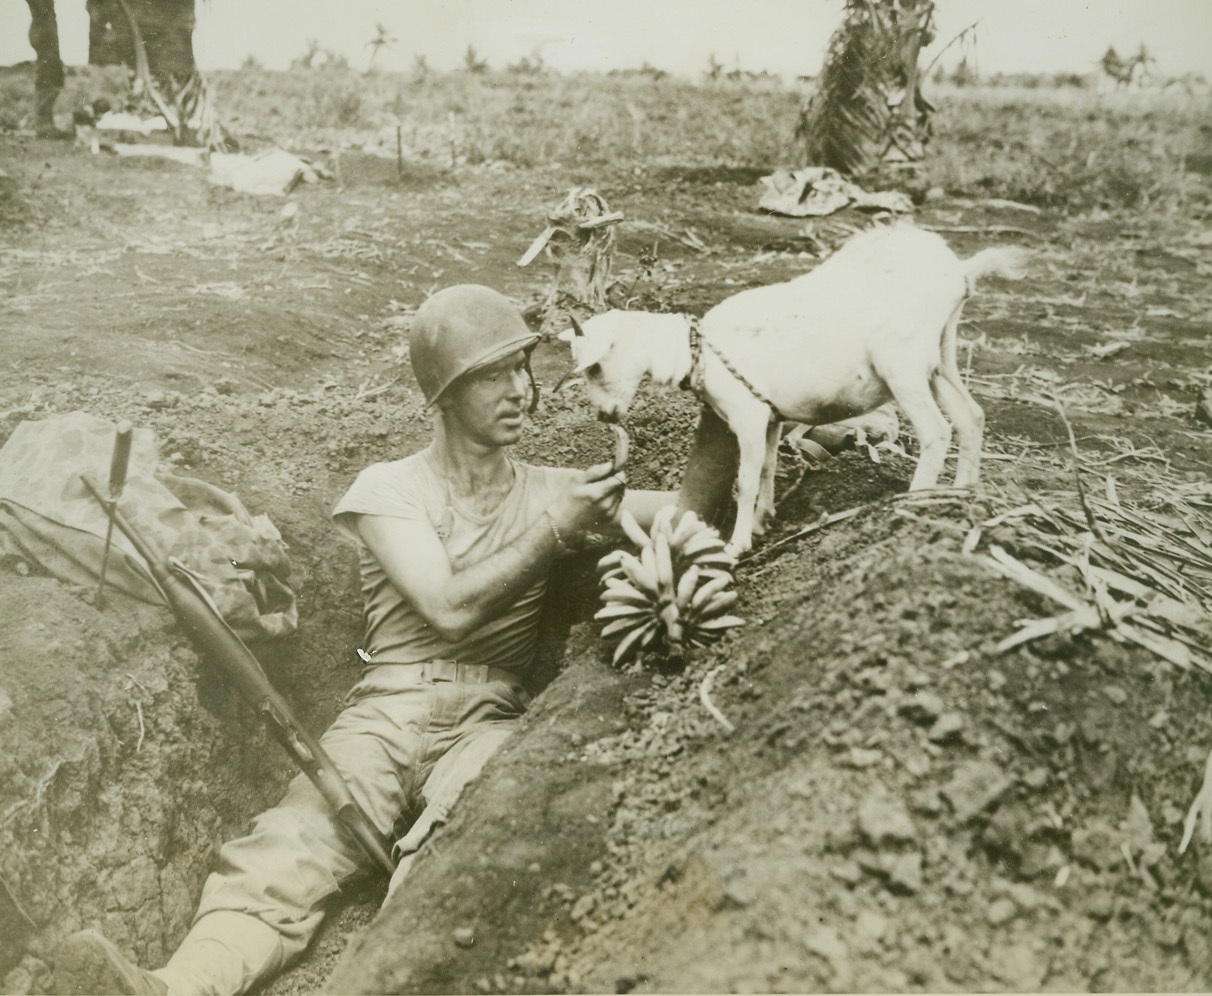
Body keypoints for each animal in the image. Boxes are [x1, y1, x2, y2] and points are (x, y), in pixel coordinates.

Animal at [557, 222, 1022, 557]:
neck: (696, 349)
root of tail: (959, 273)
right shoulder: (771, 418)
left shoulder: (747, 415)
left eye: (594, 367)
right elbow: (767, 468)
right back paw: (960, 494)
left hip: (902, 363)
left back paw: (913, 503)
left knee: (936, 431)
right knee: (971, 417)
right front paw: (764, 520)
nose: (604, 416)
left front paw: (738, 543)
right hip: (939, 358)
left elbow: (746, 479)